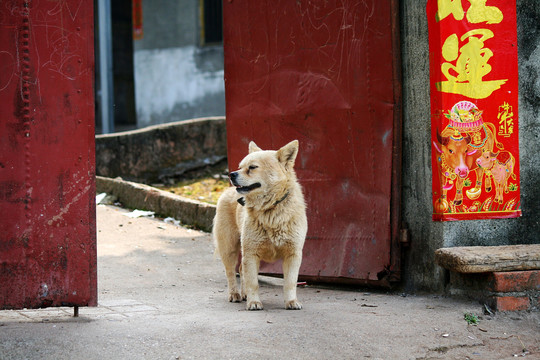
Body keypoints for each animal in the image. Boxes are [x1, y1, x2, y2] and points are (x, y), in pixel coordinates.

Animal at [215, 140, 308, 310]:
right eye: (240, 166)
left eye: (252, 167)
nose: (231, 174)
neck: (271, 209)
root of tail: (227, 190)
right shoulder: (251, 254)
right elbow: (253, 283)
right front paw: (254, 302)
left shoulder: (293, 254)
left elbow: (290, 283)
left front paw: (291, 301)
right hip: (229, 248)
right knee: (231, 272)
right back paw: (235, 294)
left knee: (240, 269)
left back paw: (244, 294)